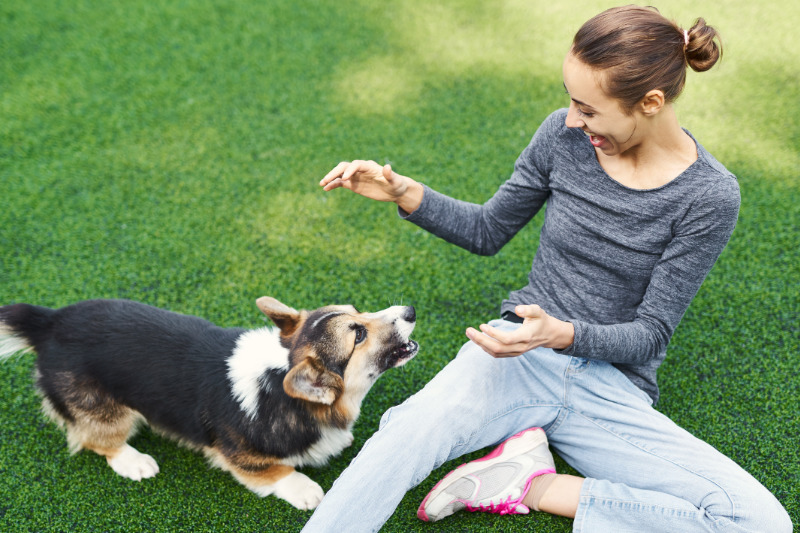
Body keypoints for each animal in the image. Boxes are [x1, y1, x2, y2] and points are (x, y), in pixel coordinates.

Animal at [0, 298, 422, 510]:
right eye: (358, 334)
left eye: (357, 312)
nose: (410, 311)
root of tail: (49, 322)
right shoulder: (237, 455)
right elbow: (277, 472)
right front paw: (305, 490)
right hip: (108, 412)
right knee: (96, 439)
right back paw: (133, 461)